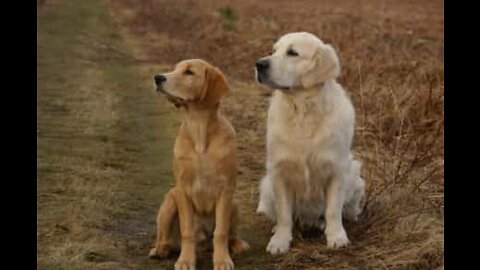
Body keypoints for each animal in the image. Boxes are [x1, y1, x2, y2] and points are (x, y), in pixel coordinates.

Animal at [255, 32, 364, 254]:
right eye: (273, 50)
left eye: (292, 53)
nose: (259, 64)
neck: (303, 111)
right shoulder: (279, 171)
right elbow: (284, 214)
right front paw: (280, 241)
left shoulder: (337, 170)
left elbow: (333, 210)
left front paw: (336, 236)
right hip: (267, 185)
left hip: (356, 178)